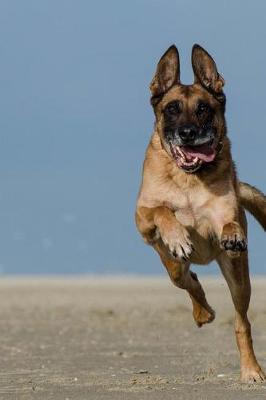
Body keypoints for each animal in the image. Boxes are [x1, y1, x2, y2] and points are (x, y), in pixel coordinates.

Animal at [135, 43, 266, 382]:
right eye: (172, 109)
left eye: (204, 108)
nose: (188, 133)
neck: (189, 177)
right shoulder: (141, 218)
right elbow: (162, 210)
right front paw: (178, 236)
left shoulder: (225, 214)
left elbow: (229, 222)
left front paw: (232, 235)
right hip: (173, 267)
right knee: (188, 278)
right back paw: (202, 311)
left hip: (239, 278)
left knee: (242, 322)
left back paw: (251, 369)